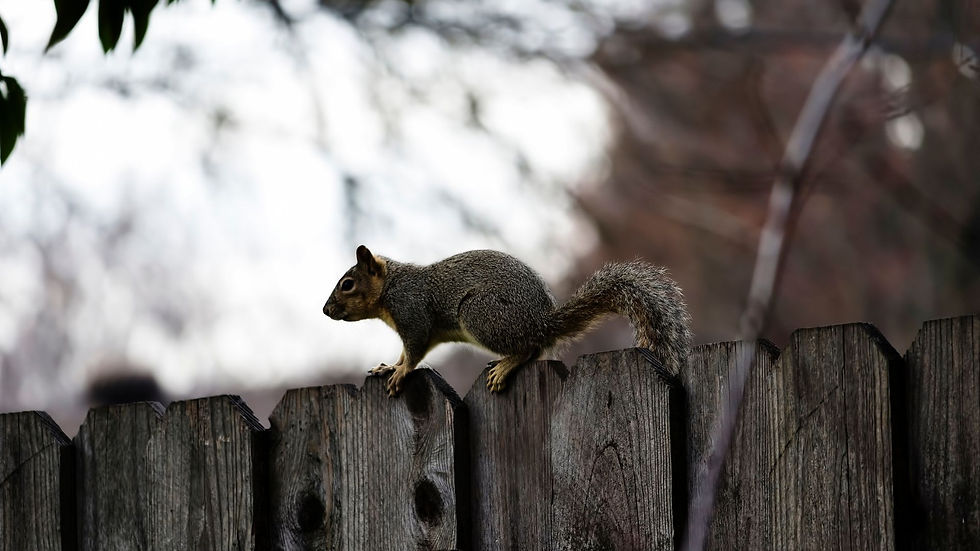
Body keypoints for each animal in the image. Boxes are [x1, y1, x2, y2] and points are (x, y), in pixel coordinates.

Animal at [323, 246, 692, 396]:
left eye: (347, 284)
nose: (326, 310)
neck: (391, 287)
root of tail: (542, 322)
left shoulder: (413, 314)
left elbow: (414, 353)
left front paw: (400, 373)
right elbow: (404, 352)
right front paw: (390, 366)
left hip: (480, 314)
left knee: (529, 349)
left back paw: (506, 364)